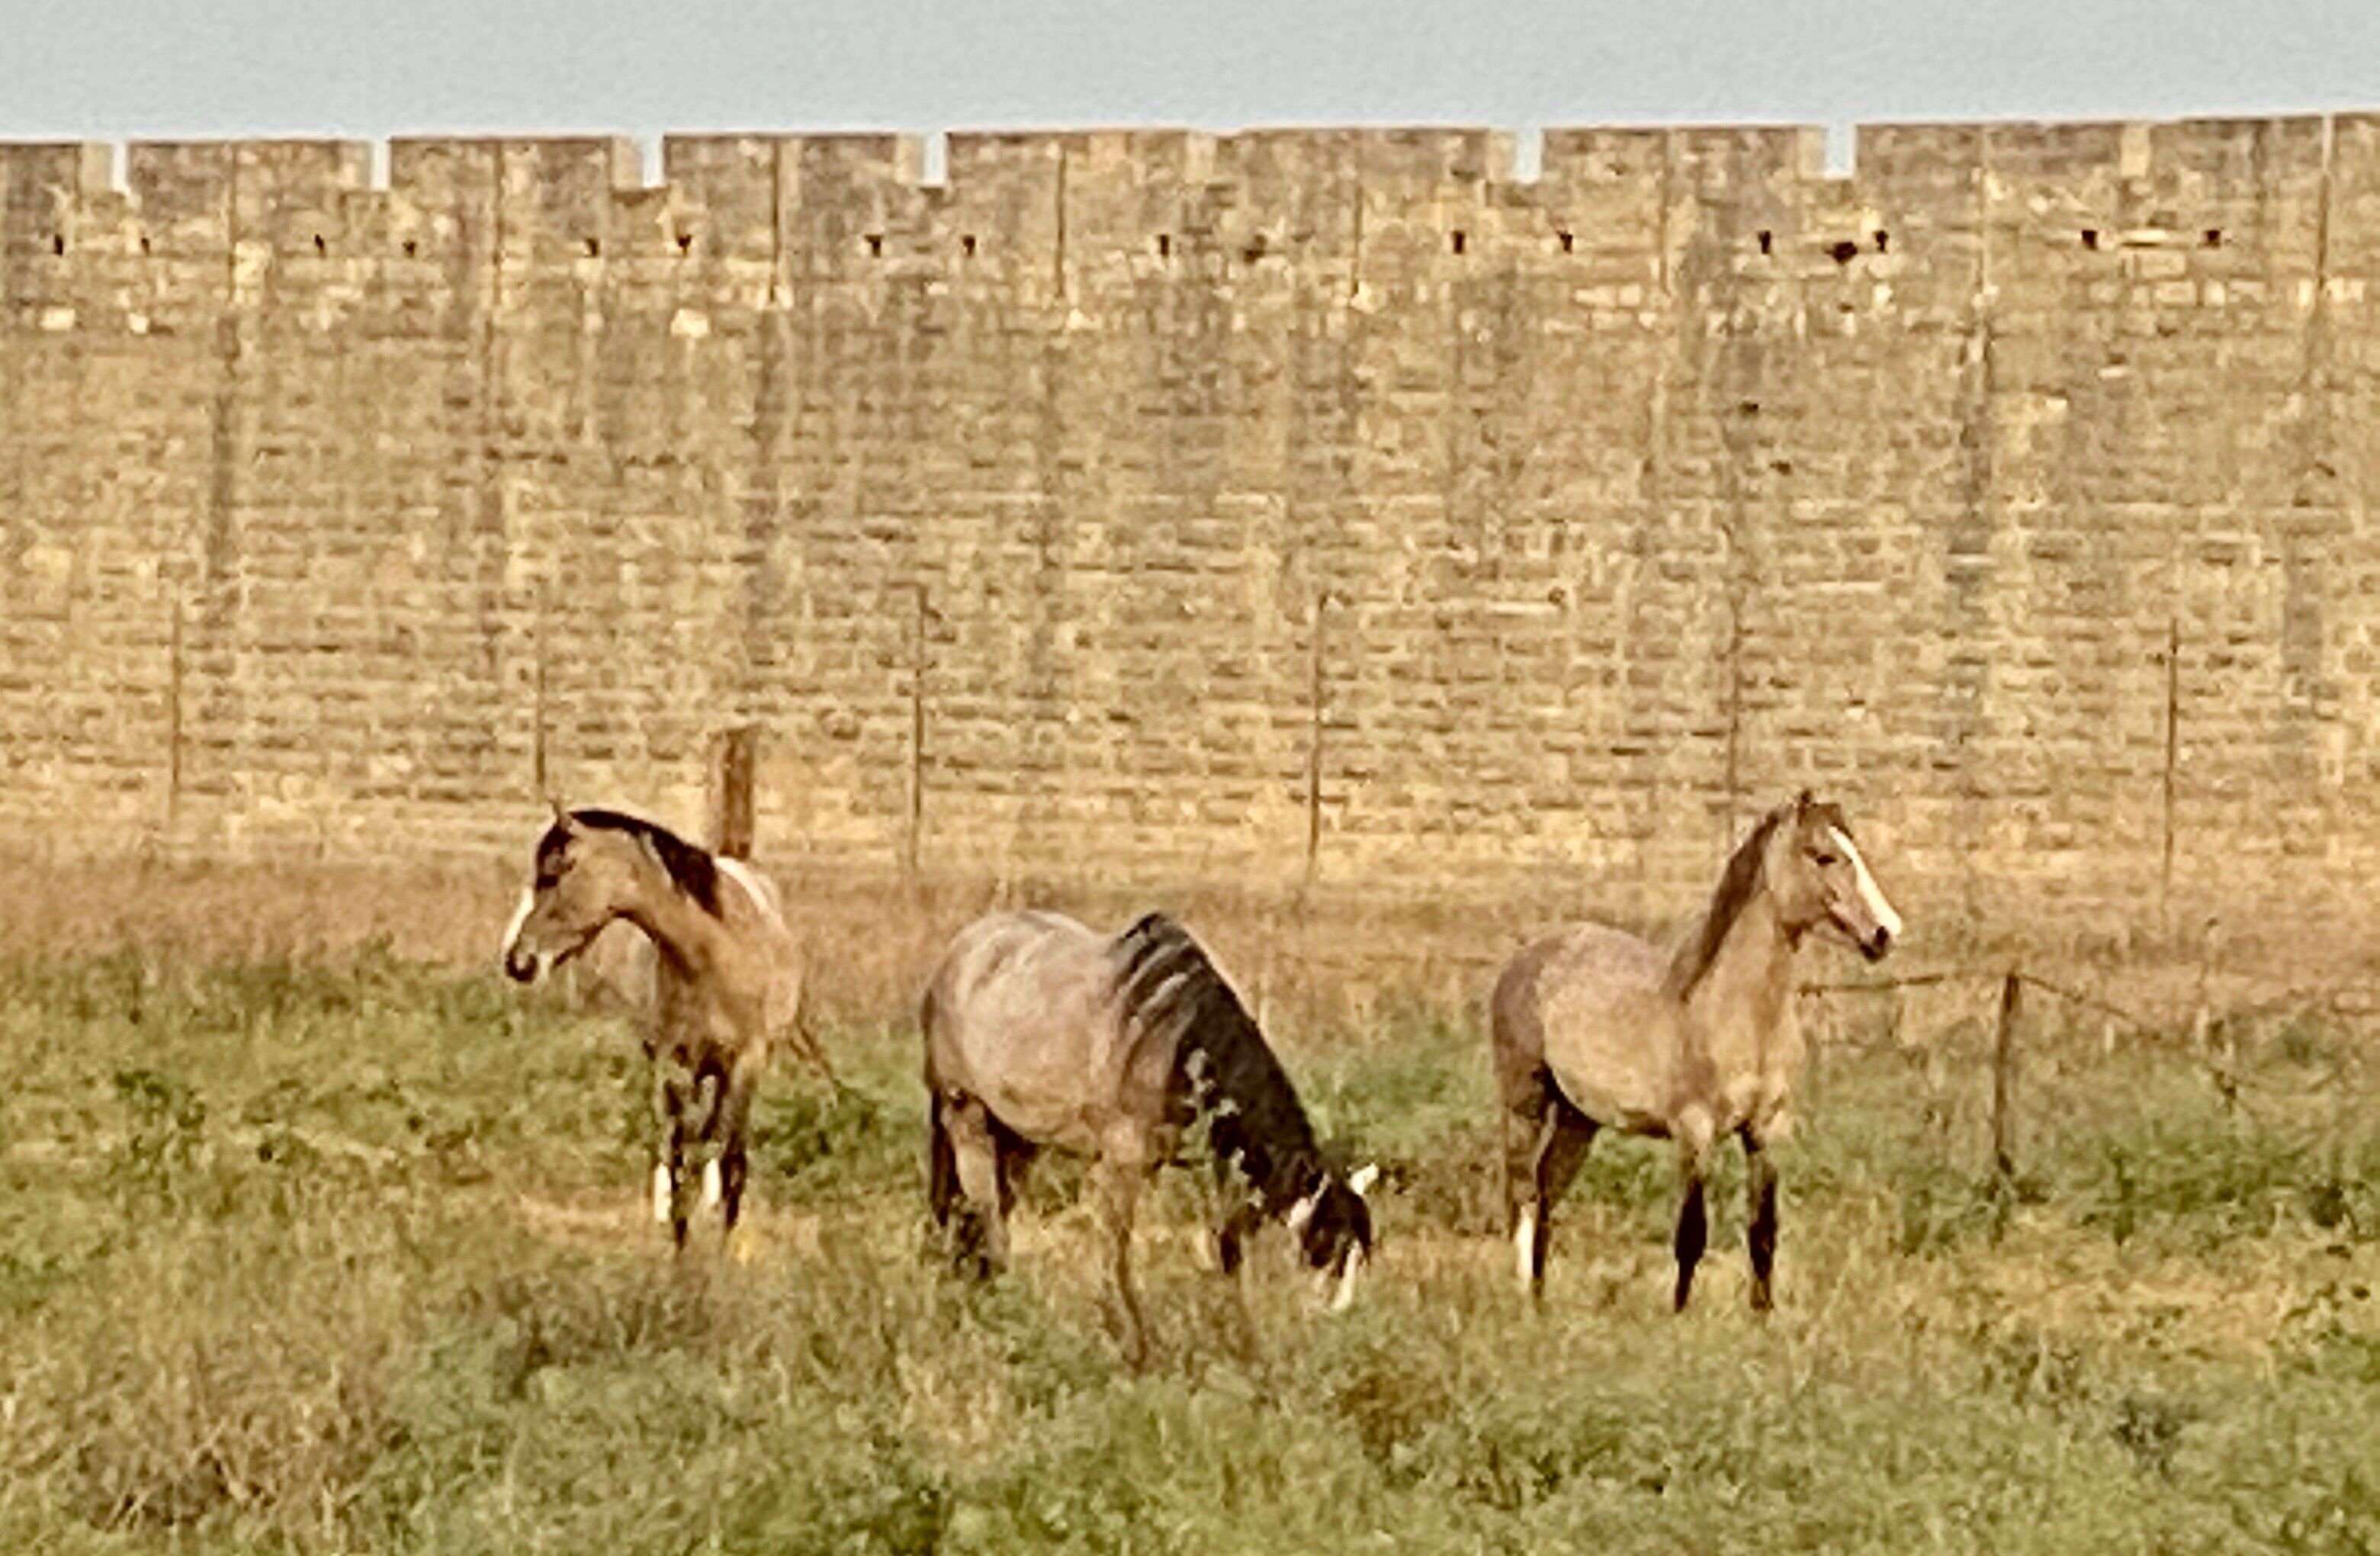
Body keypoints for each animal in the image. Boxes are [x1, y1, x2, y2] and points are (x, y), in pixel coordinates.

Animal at [499, 802, 834, 1248]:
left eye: (557, 870)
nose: (518, 961)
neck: (714, 953)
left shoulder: (746, 1063)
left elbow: (732, 1162)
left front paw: (723, 1251)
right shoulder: (676, 1066)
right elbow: (679, 1167)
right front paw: (681, 1252)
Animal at [920, 908, 1377, 1364]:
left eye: (1361, 1256)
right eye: (1327, 1248)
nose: (1341, 1323)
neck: (1177, 1042)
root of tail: (958, 951)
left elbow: (1227, 1249)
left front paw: (1238, 1335)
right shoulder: (1122, 1163)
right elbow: (1116, 1253)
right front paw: (1132, 1343)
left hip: (1018, 1138)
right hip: (967, 1113)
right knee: (984, 1209)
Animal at [1490, 790, 1902, 1312]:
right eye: (1822, 855)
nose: (1887, 932)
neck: (1732, 1014)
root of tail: (1527, 956)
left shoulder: (1767, 1131)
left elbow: (1763, 1235)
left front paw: (1762, 1317)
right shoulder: (1694, 1132)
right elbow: (1691, 1236)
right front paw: (1680, 1316)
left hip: (1577, 1118)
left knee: (1547, 1192)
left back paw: (1542, 1302)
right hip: (1524, 1102)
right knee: (1522, 1194)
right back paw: (1522, 1296)